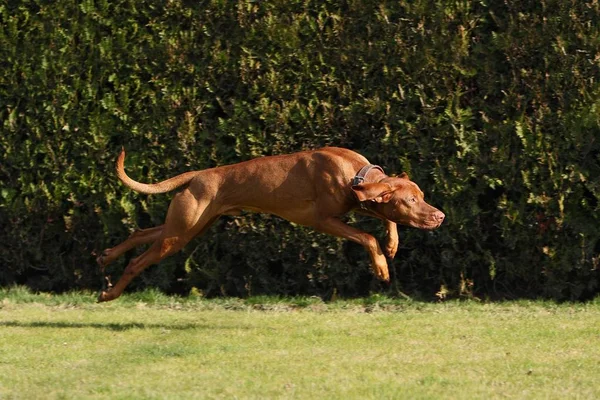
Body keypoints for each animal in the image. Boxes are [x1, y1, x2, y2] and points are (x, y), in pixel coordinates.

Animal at [96, 148, 442, 302]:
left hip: (188, 227)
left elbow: (385, 218)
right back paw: (110, 293)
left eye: (421, 196)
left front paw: (392, 245)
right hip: (179, 234)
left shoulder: (360, 203)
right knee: (138, 261)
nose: (440, 216)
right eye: (411, 201)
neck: (354, 173)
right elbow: (367, 236)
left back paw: (107, 255)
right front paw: (381, 267)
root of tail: (199, 174)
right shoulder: (322, 220)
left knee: (141, 232)